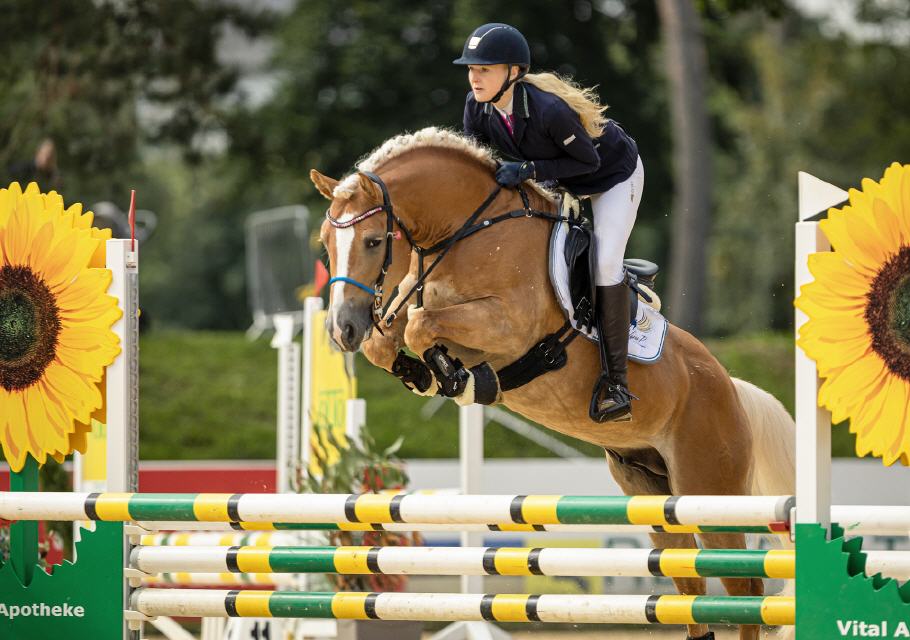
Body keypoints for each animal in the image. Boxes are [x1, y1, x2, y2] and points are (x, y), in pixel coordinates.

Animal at [310, 127, 796, 636]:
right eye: (325, 240)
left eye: (371, 241)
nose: (341, 329)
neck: (470, 232)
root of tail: (731, 389)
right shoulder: (410, 304)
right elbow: (389, 340)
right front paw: (426, 375)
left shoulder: (504, 327)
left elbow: (420, 327)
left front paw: (460, 379)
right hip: (652, 493)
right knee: (690, 588)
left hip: (707, 490)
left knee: (745, 591)